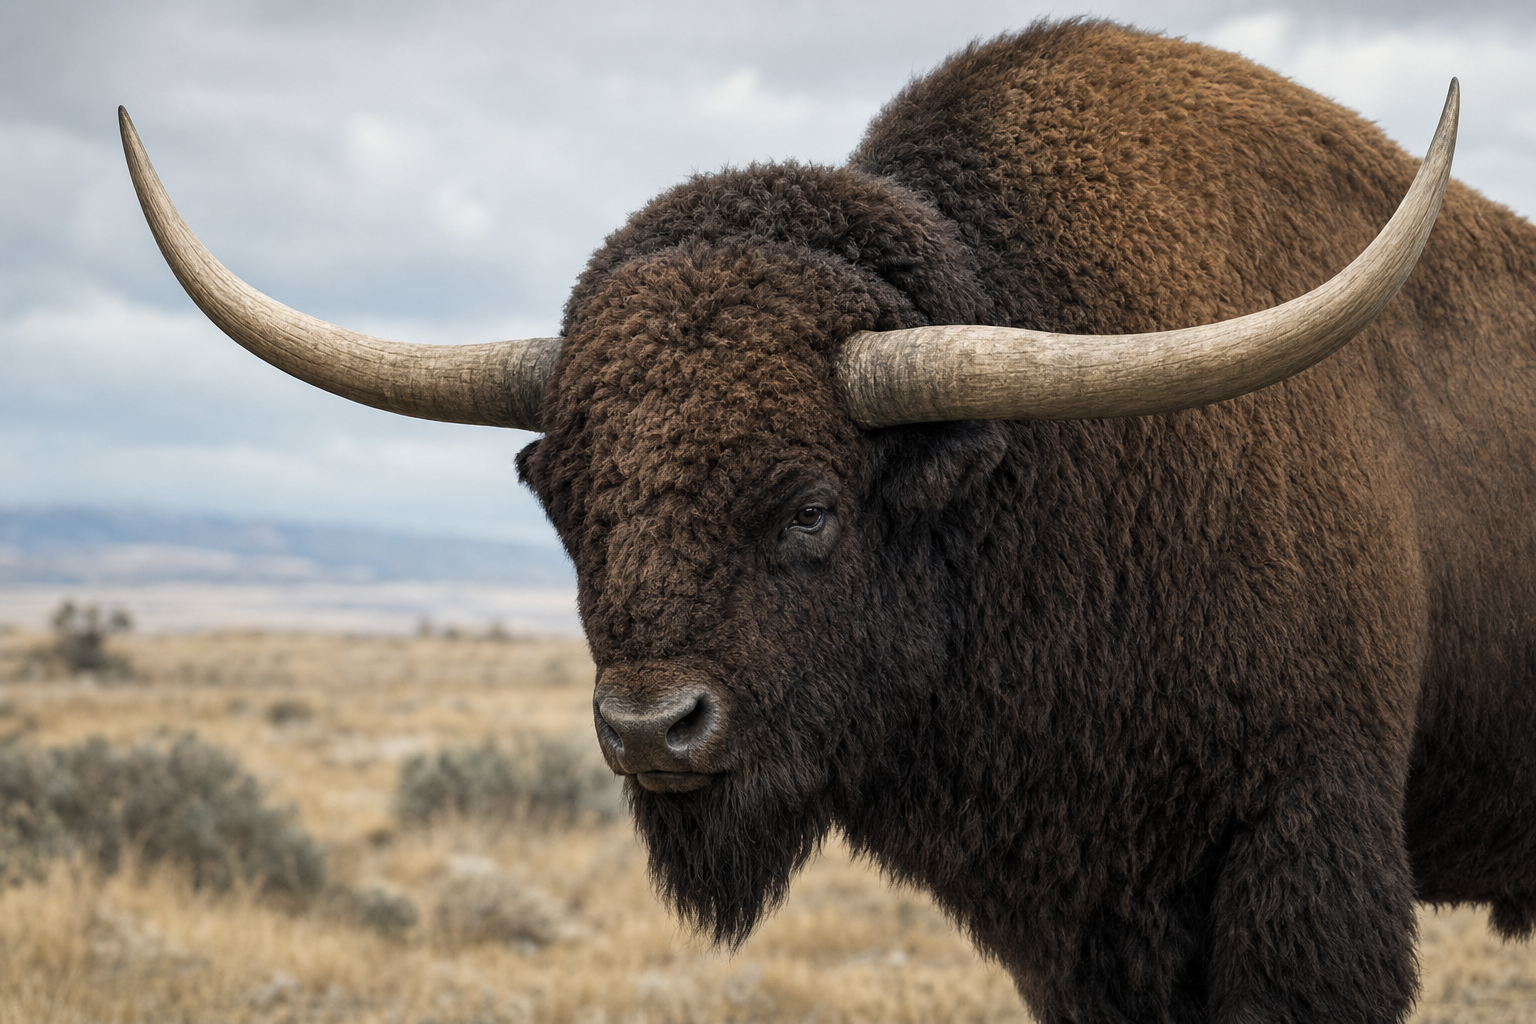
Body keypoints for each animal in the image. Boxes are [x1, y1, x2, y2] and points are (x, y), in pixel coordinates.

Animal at [120, 20, 1536, 1024]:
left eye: (808, 507)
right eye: (570, 500)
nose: (654, 728)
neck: (1032, 476)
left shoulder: (1300, 856)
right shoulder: (1083, 917)